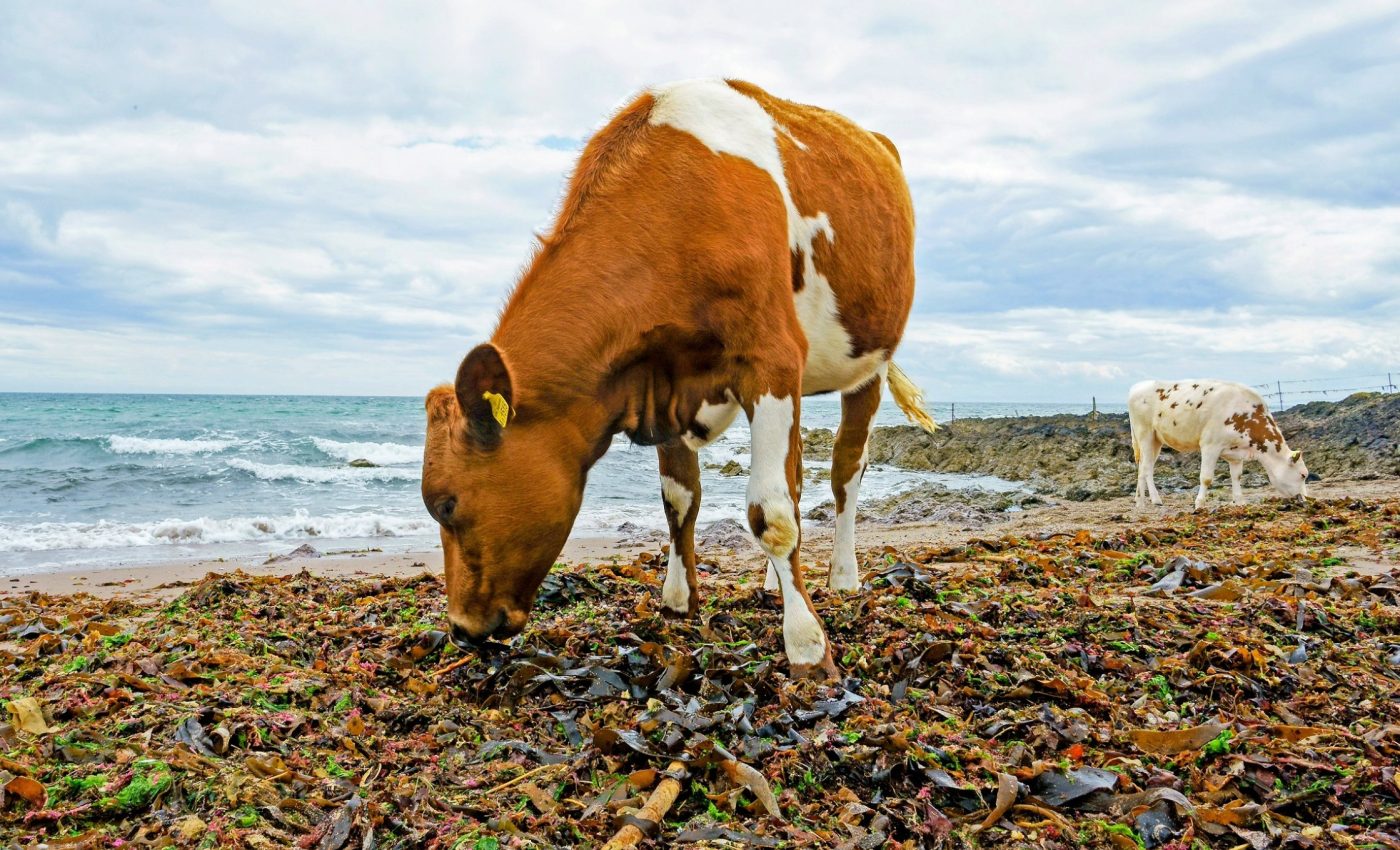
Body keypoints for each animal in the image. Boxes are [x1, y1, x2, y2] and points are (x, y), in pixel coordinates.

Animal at [421, 79, 936, 680]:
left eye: (447, 504)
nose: (461, 630)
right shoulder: (660, 378)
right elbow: (680, 498)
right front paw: (679, 599)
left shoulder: (772, 358)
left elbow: (771, 514)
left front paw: (806, 644)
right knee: (797, 478)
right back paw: (773, 585)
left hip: (867, 364)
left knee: (846, 472)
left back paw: (842, 577)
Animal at [1127, 379, 1309, 510]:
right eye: (1303, 475)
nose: (1307, 500)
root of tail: (1138, 385)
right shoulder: (1210, 445)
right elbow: (1206, 478)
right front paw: (1199, 504)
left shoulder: (1236, 453)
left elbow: (1237, 476)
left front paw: (1239, 501)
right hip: (1145, 434)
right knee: (1146, 468)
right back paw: (1152, 500)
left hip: (1156, 440)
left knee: (1144, 466)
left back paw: (1140, 500)